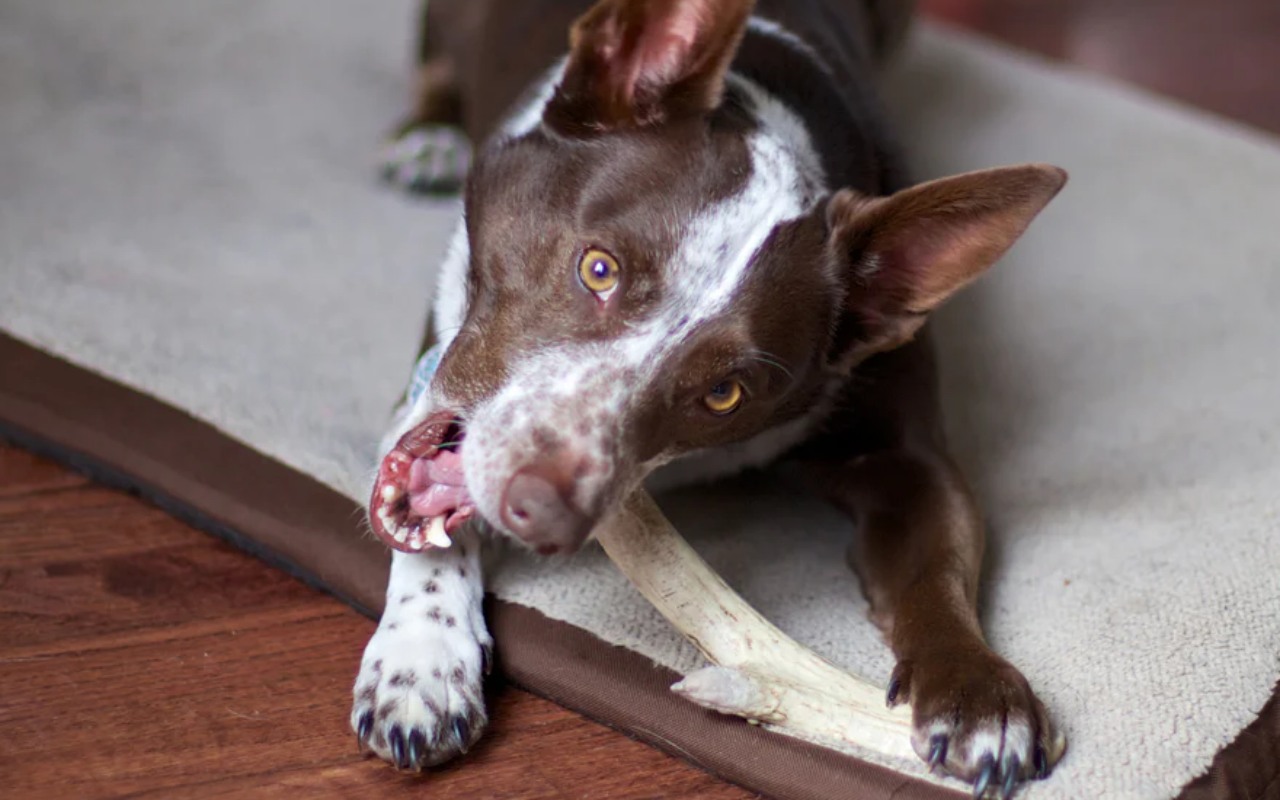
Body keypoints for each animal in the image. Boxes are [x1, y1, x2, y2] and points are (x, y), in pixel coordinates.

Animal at [350, 1, 1070, 793]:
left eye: (726, 392)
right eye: (598, 268)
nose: (541, 511)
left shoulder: (905, 455)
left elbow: (936, 564)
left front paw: (980, 694)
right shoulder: (438, 373)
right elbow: (426, 519)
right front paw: (420, 662)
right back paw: (428, 137)